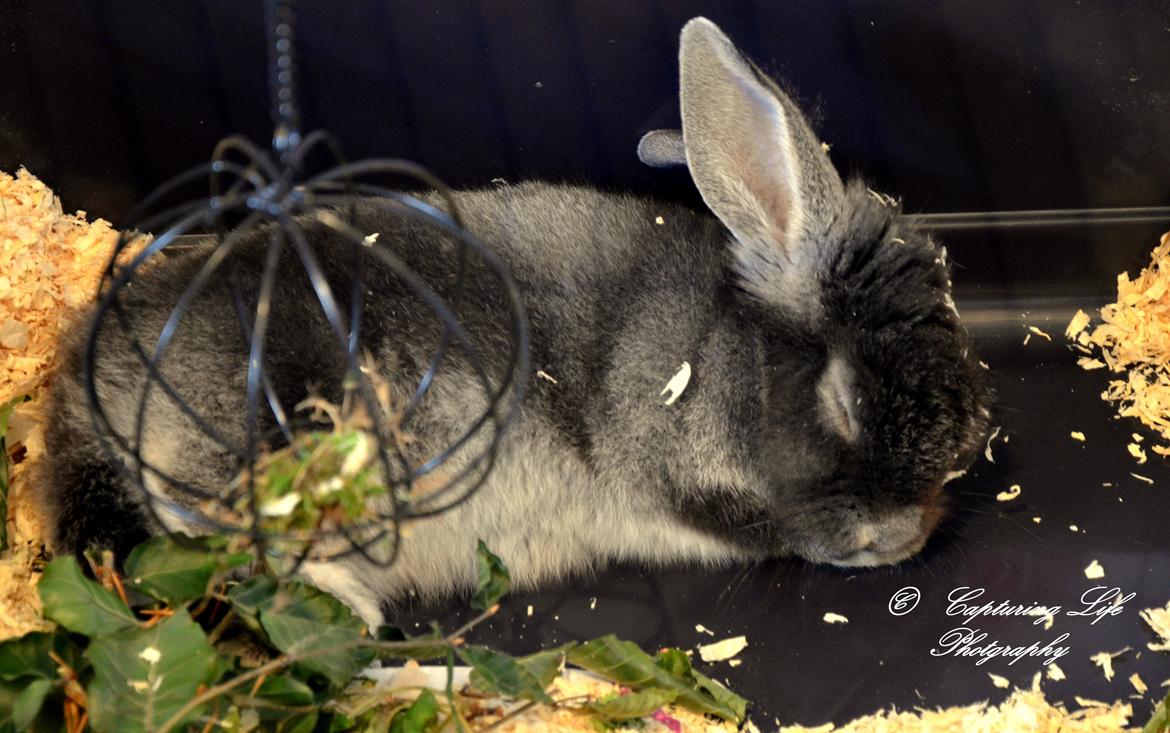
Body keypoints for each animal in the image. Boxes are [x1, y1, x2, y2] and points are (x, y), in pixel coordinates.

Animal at [38, 17, 987, 622]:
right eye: (843, 401)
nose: (903, 538)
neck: (731, 359)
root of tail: (88, 389)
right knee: (200, 519)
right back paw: (349, 600)